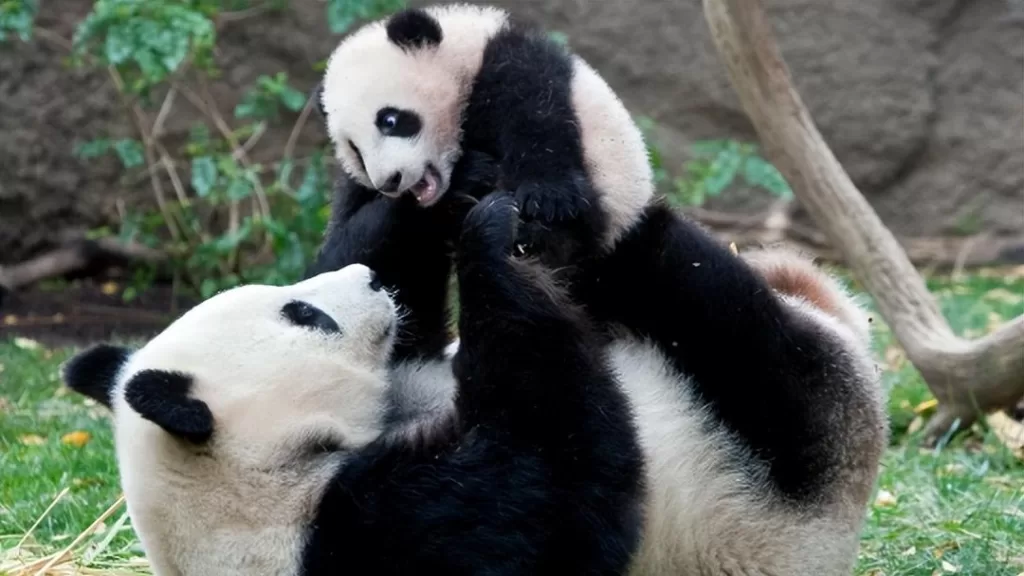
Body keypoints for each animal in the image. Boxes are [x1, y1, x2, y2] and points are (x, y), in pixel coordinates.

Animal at [311, 3, 655, 277]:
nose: (389, 181)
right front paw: (473, 175)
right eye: (355, 151)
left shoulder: (511, 65)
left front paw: (546, 198)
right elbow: (341, 258)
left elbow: (536, 114)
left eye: (390, 121)